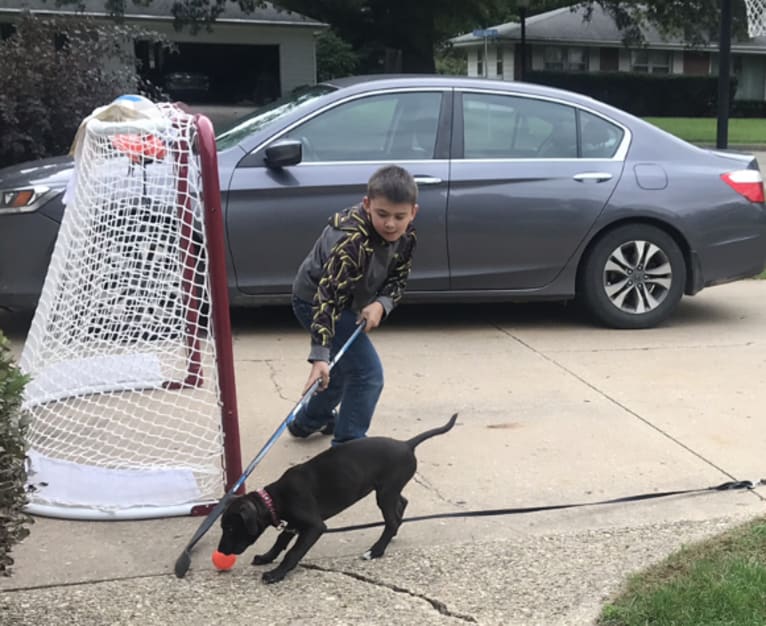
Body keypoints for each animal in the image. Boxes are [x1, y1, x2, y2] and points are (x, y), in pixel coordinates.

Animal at [218, 412, 456, 584]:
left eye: (230, 528)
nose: (221, 552)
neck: (275, 498)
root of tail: (406, 444)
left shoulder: (314, 527)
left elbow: (293, 552)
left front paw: (277, 573)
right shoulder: (293, 524)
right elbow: (280, 542)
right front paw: (267, 558)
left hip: (385, 493)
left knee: (392, 520)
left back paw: (376, 550)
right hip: (388, 489)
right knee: (402, 505)